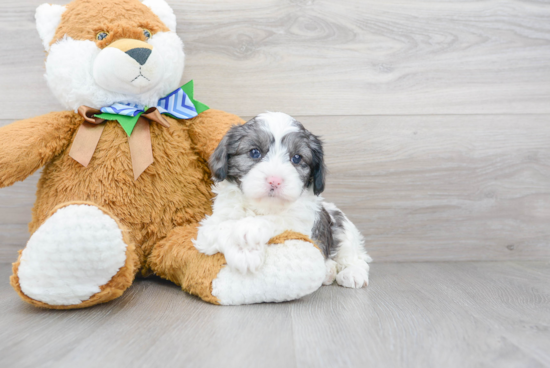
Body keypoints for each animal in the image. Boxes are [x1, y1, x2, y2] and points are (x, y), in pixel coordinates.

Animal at [195, 112, 376, 288]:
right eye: (254, 152)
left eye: (296, 158)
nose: (274, 181)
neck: (263, 208)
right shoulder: (208, 227)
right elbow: (221, 227)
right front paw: (244, 252)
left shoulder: (300, 224)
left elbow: (277, 220)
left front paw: (250, 230)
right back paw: (329, 271)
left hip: (342, 226)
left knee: (354, 255)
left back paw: (352, 273)